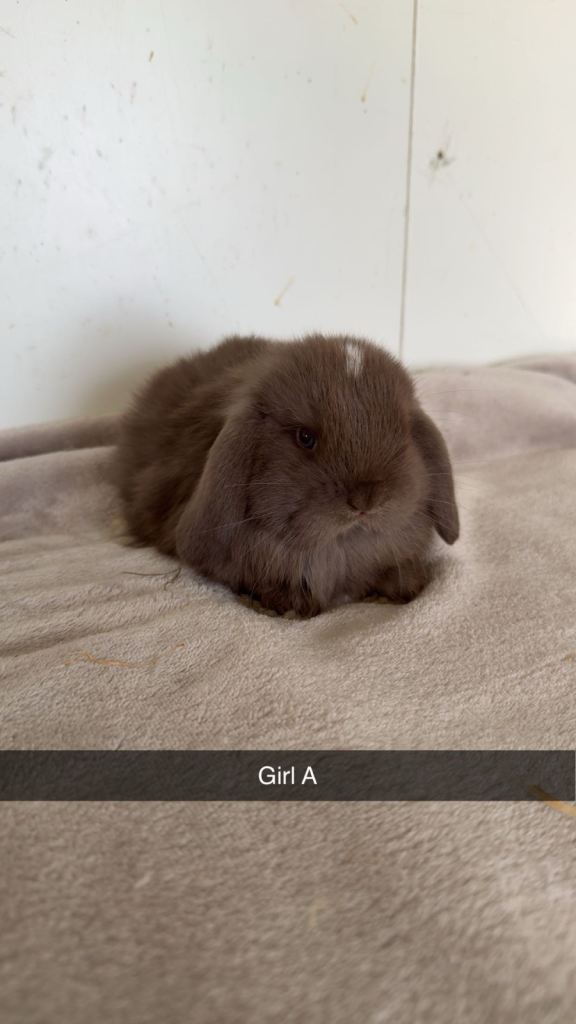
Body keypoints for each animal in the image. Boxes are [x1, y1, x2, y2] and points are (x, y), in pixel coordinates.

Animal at [116, 333, 459, 617]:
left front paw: (408, 584)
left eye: (404, 432)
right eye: (305, 437)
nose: (365, 500)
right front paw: (292, 604)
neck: (339, 546)